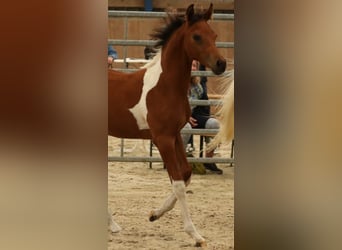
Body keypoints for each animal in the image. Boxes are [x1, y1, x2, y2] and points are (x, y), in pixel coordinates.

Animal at [107, 3, 224, 246]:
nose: (221, 64)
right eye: (196, 36)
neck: (165, 86)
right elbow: (178, 183)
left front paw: (154, 214)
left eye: (214, 35)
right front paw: (195, 235)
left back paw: (112, 225)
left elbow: (186, 174)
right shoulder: (162, 139)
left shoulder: (175, 134)